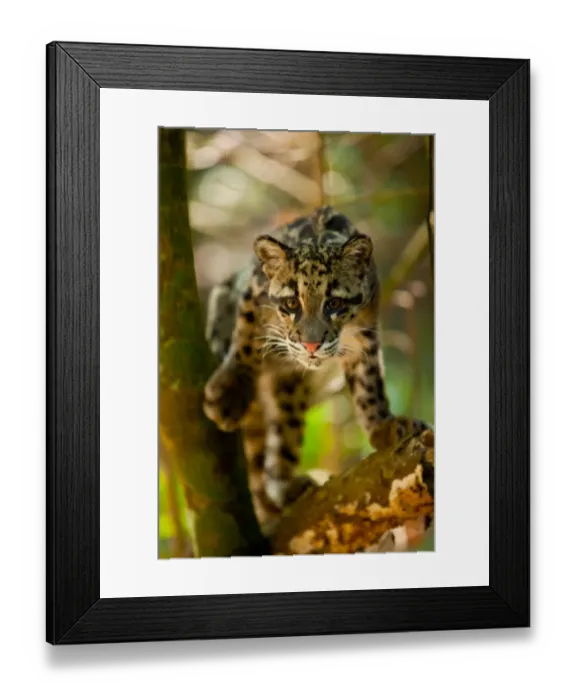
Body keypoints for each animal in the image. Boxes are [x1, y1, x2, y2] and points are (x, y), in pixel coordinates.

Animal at [203, 206, 430, 527]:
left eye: (333, 303)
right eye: (291, 304)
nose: (311, 345)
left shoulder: (365, 335)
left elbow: (369, 385)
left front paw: (382, 426)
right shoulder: (253, 291)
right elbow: (246, 338)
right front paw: (230, 392)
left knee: (282, 440)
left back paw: (282, 492)